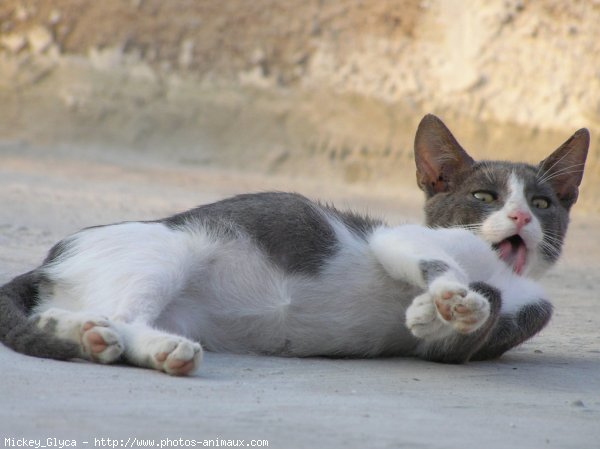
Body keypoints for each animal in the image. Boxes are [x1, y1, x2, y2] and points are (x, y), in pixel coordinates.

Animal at [0, 114, 588, 372]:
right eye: (485, 196)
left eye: (542, 204)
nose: (520, 215)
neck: (499, 271)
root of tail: (51, 260)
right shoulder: (396, 237)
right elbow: (431, 259)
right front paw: (444, 297)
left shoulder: (487, 331)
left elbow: (462, 331)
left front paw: (438, 312)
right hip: (166, 251)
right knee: (121, 312)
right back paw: (104, 337)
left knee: (91, 318)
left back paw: (87, 336)